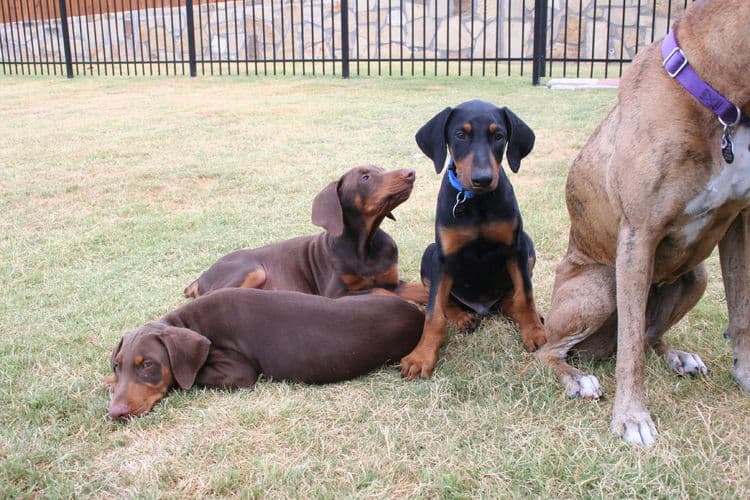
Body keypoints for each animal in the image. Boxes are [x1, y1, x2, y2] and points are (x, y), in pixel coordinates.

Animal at [106, 288, 426, 420]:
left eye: (148, 364)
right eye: (117, 365)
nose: (115, 412)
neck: (189, 323)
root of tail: (418, 315)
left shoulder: (240, 372)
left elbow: (190, 377)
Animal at [183, 166, 428, 302]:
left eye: (382, 168)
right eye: (365, 178)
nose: (411, 173)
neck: (365, 245)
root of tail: (201, 277)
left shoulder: (392, 281)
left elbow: (421, 289)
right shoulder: (335, 293)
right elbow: (382, 292)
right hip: (253, 270)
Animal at [400, 99, 548, 380]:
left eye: (498, 136)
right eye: (460, 135)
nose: (483, 179)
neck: (476, 202)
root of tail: (483, 307)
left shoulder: (516, 248)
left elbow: (525, 295)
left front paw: (534, 332)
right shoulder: (444, 258)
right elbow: (434, 312)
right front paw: (421, 356)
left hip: (528, 244)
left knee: (510, 299)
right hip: (430, 253)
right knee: (447, 300)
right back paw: (462, 317)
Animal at [536, 0, 750, 446]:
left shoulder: (740, 222)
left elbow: (742, 313)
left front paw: (746, 375)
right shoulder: (639, 232)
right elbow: (631, 349)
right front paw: (632, 417)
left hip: (696, 277)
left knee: (651, 336)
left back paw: (677, 357)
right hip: (602, 285)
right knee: (551, 351)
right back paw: (576, 379)